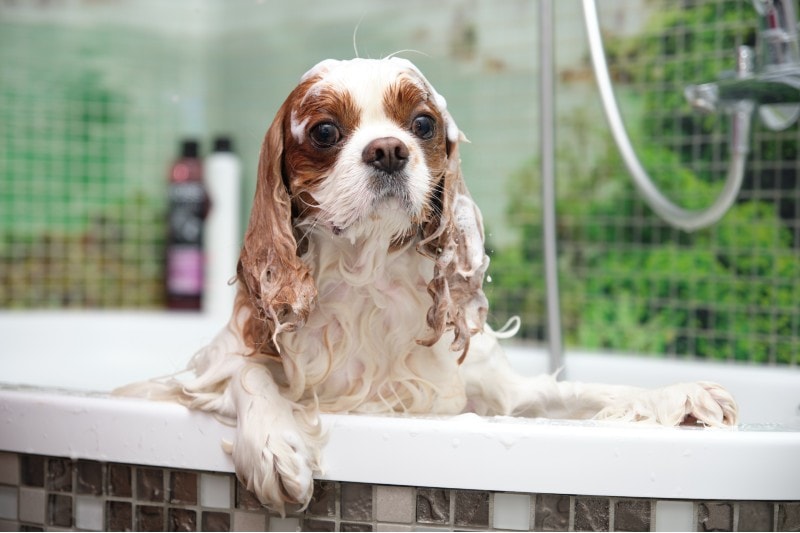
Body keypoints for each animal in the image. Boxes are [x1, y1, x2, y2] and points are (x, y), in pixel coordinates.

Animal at [122, 57, 740, 512]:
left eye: (422, 124)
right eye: (325, 131)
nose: (389, 150)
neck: (369, 274)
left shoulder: (500, 399)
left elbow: (581, 394)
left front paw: (679, 395)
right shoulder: (205, 366)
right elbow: (248, 373)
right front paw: (275, 443)